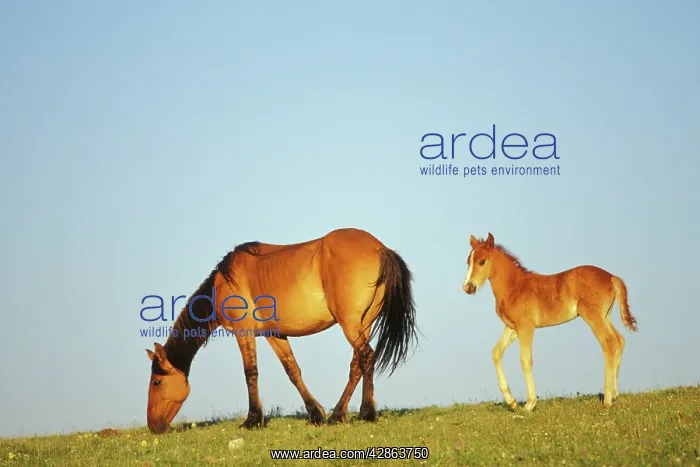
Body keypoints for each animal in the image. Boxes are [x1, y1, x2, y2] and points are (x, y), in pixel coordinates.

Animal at [145, 228, 419, 434]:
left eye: (157, 382)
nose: (153, 426)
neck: (224, 282)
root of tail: (379, 248)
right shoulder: (274, 335)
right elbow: (292, 371)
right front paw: (315, 414)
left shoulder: (244, 333)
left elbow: (251, 372)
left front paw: (252, 420)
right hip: (363, 323)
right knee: (357, 364)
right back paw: (337, 414)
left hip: (350, 324)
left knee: (366, 356)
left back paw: (365, 413)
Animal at [462, 232, 638, 411]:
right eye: (468, 261)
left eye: (482, 261)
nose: (467, 287)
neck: (515, 288)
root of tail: (612, 277)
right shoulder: (512, 328)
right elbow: (496, 352)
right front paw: (512, 402)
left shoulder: (526, 327)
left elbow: (525, 360)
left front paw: (530, 404)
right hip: (605, 316)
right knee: (619, 340)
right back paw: (615, 394)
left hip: (593, 317)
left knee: (608, 342)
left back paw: (608, 399)